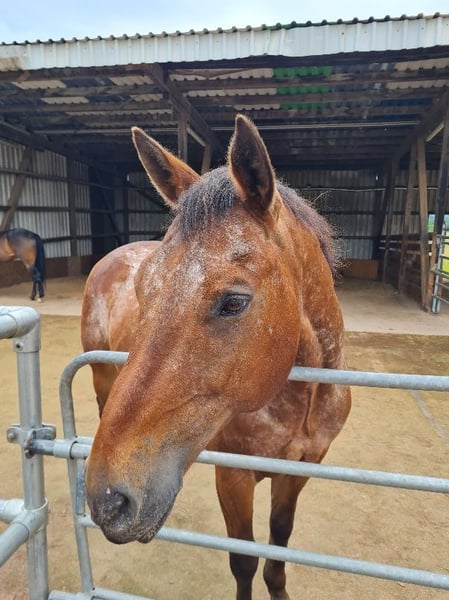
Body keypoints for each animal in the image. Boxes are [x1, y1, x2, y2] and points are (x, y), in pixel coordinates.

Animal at [84, 114, 351, 600]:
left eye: (233, 302)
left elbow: (279, 543)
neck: (301, 400)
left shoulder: (300, 470)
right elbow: (244, 559)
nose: (110, 501)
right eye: (142, 287)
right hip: (100, 378)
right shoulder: (234, 477)